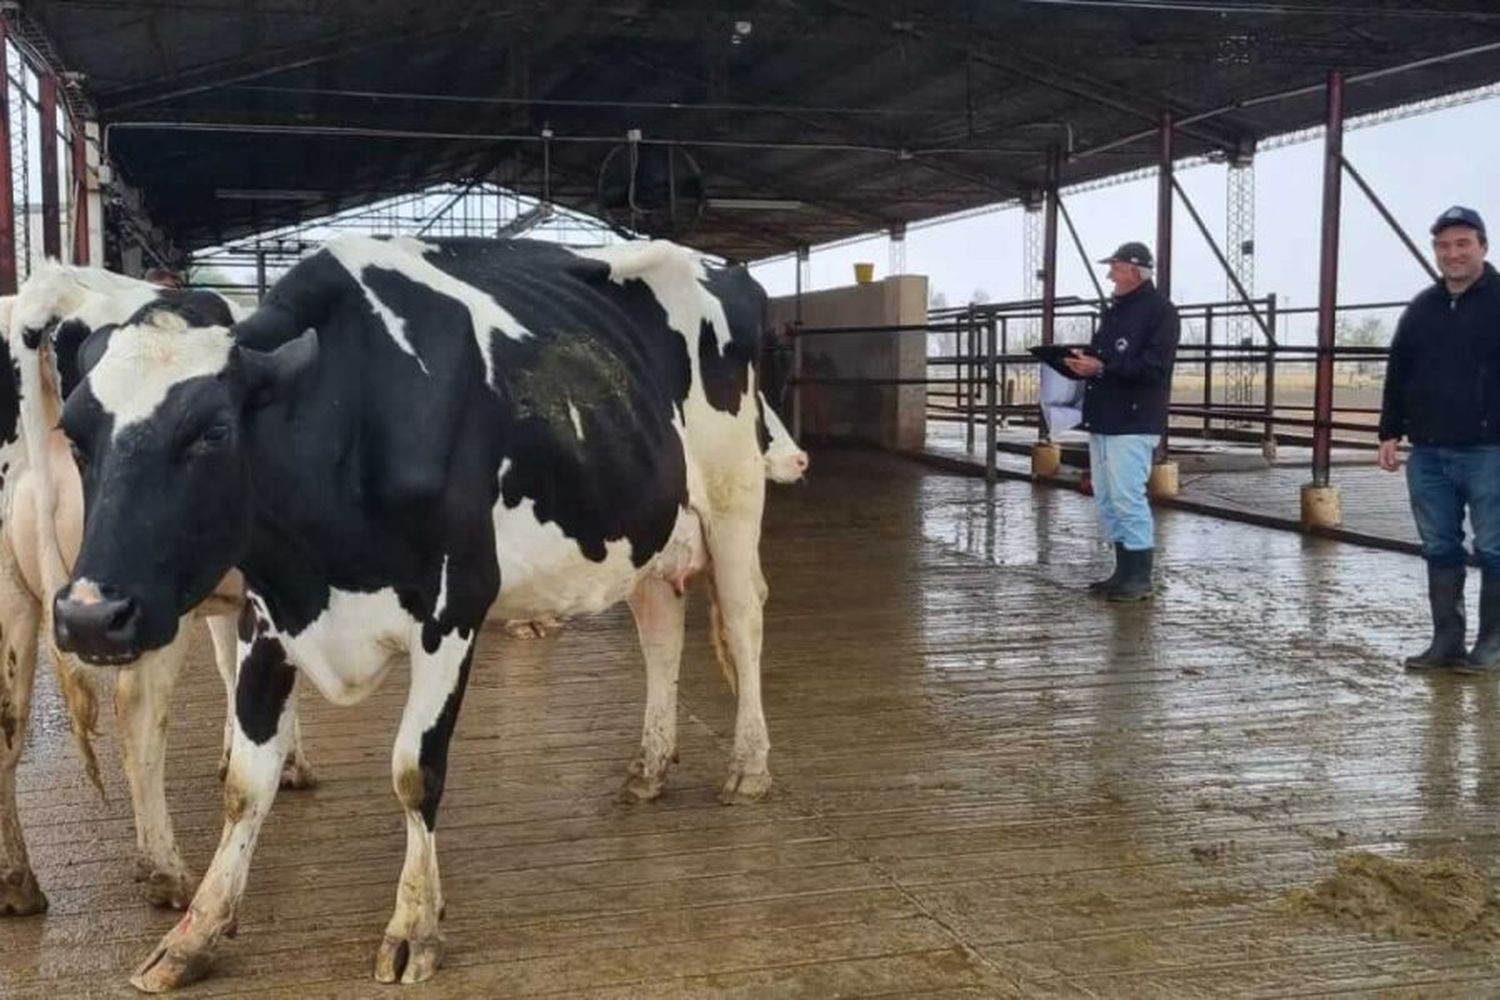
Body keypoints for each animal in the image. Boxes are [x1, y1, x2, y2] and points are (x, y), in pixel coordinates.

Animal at [42, 236, 780, 995]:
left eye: (213, 432)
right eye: (76, 435)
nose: (90, 617)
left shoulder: (453, 610)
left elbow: (413, 771)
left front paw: (414, 924)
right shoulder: (267, 614)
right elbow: (246, 782)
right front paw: (196, 932)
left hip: (733, 498)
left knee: (744, 623)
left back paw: (749, 767)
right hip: (645, 526)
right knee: (660, 632)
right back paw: (650, 767)